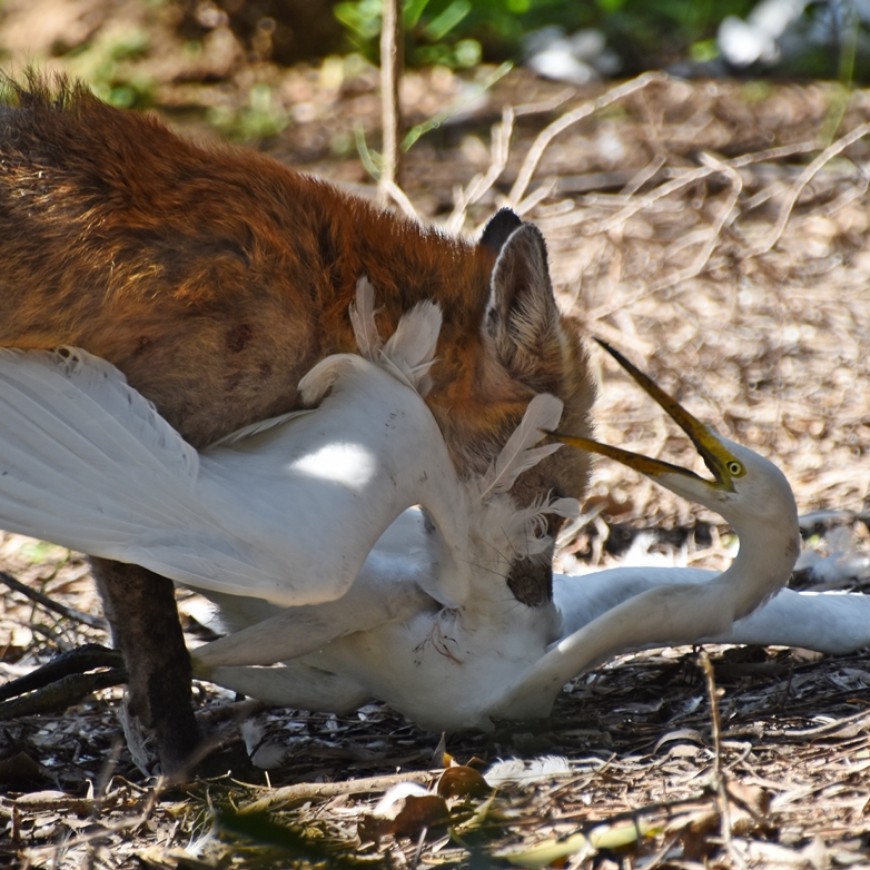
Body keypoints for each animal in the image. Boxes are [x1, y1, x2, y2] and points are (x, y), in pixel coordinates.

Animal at [0, 73, 600, 768]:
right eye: (549, 512)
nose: (542, 611)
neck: (318, 302)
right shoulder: (140, 465)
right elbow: (160, 651)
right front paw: (178, 759)